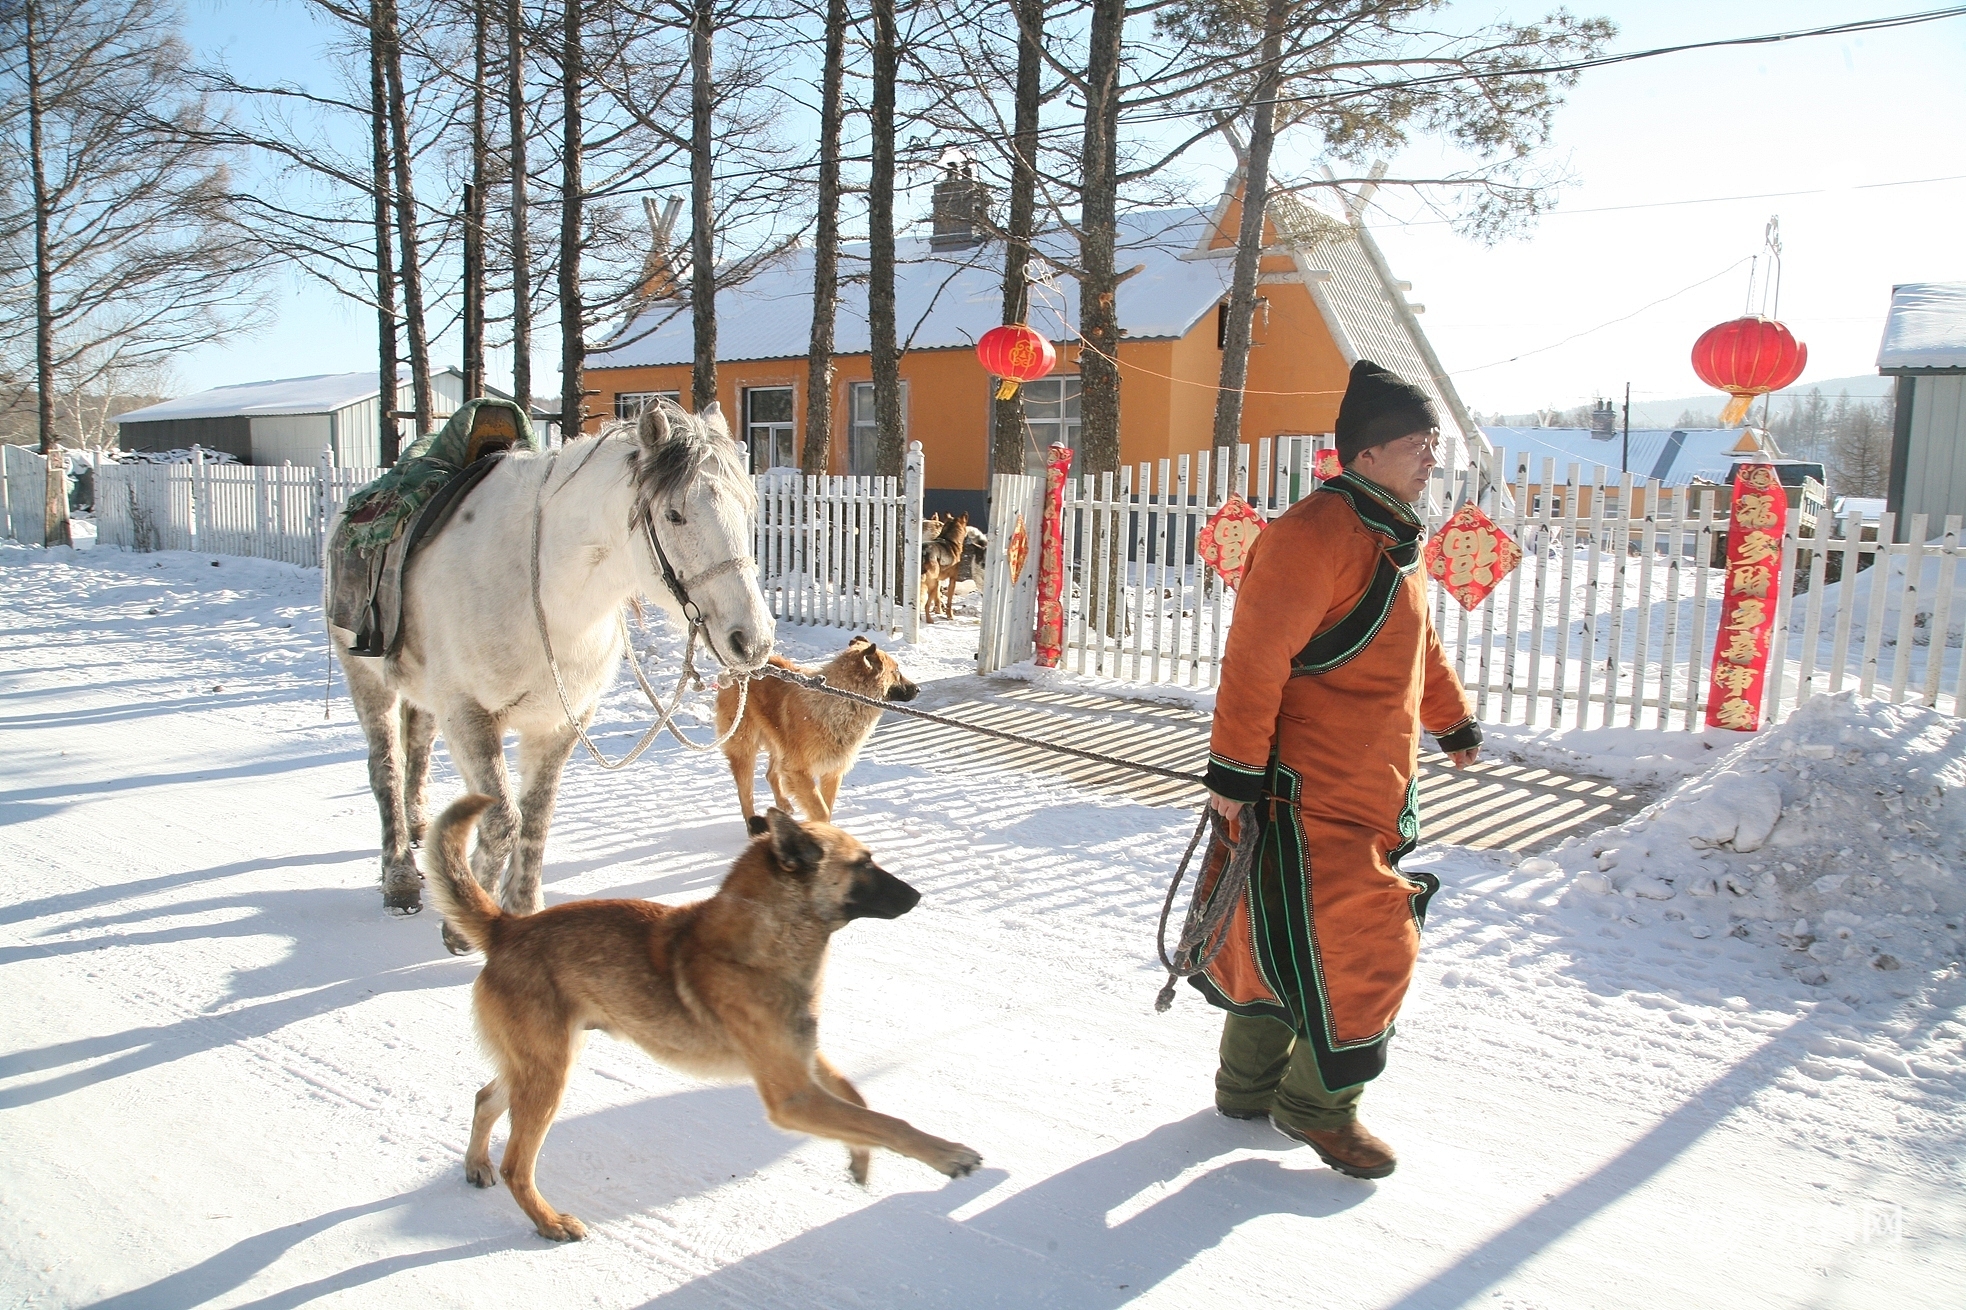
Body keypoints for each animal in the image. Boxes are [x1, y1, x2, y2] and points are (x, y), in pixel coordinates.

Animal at [326, 403, 770, 932]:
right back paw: (399, 878)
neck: (544, 589)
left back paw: (418, 826)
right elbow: (502, 820)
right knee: (386, 768)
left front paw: (523, 910)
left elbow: (536, 817)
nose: (752, 641)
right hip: (366, 680)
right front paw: (463, 918)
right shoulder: (468, 713)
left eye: (747, 512)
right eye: (674, 514)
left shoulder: (560, 722)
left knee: (418, 746)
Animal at [430, 790, 983, 1243]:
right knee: (517, 1164)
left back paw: (477, 1165)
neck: (767, 941)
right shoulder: (793, 1096)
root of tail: (507, 927)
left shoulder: (804, 1060)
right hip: (550, 1074)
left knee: (485, 1098)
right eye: (865, 864)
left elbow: (859, 1100)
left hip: (542, 1061)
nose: (919, 896)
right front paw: (947, 1154)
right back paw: (548, 1221)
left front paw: (860, 1156)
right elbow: (886, 1121)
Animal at [715, 637, 912, 830]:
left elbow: (827, 808)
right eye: (896, 672)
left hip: (779, 741)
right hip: (745, 746)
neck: (842, 701)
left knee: (770, 774)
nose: (916, 689)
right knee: (746, 793)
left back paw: (783, 805)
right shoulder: (798, 770)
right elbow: (821, 810)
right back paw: (752, 825)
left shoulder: (832, 772)